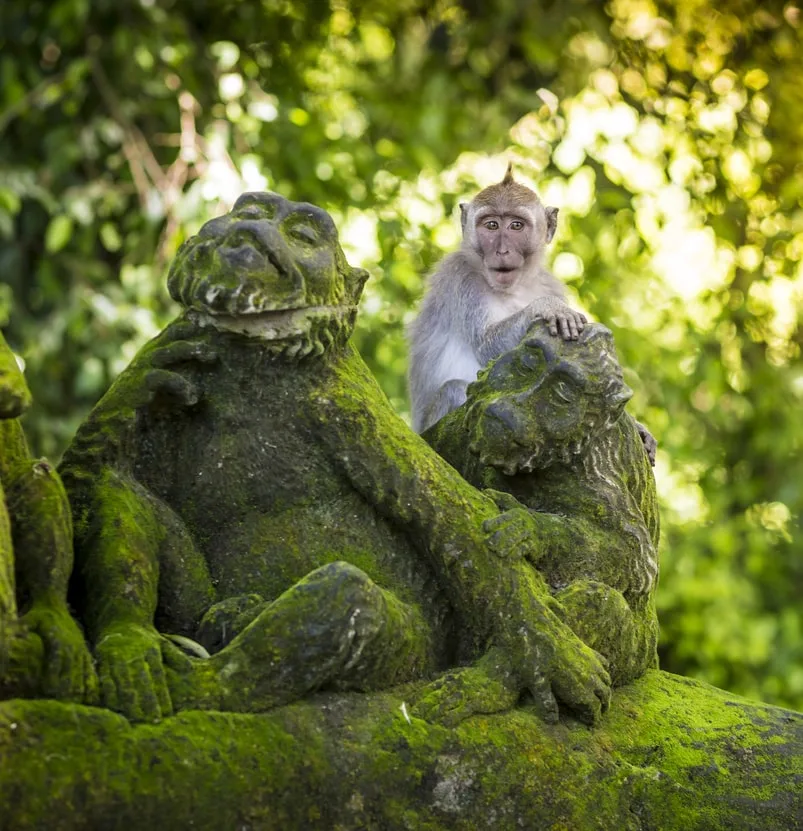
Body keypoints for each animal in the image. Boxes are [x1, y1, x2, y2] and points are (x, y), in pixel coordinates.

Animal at [408, 164, 584, 436]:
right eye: (491, 225)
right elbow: (485, 345)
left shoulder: (550, 284)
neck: (514, 288)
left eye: (516, 225)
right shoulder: (462, 278)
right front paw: (546, 307)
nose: (502, 251)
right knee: (455, 388)